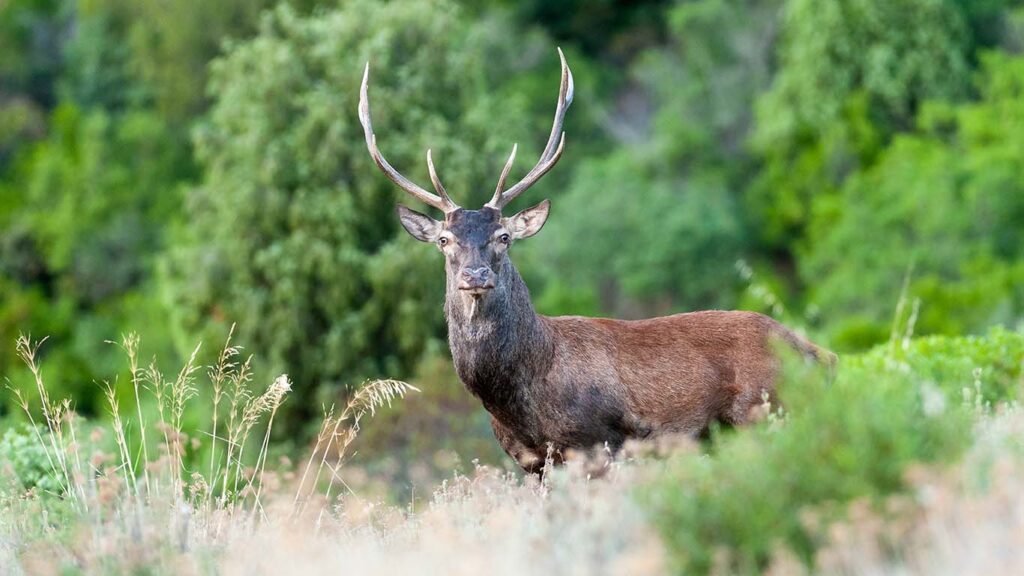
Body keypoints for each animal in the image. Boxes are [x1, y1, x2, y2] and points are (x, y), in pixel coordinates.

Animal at [358, 49, 836, 473]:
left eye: (504, 237)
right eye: (444, 239)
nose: (476, 274)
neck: (522, 398)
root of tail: (816, 354)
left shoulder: (599, 441)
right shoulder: (530, 462)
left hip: (766, 413)